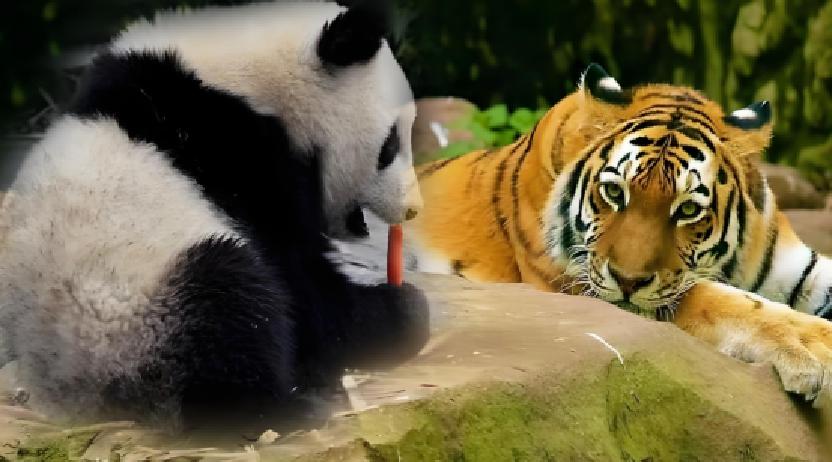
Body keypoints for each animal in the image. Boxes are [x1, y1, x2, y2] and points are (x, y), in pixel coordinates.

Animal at [409, 63, 832, 403]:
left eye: (688, 209)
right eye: (614, 192)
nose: (628, 282)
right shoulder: (577, 284)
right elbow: (723, 301)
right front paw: (806, 351)